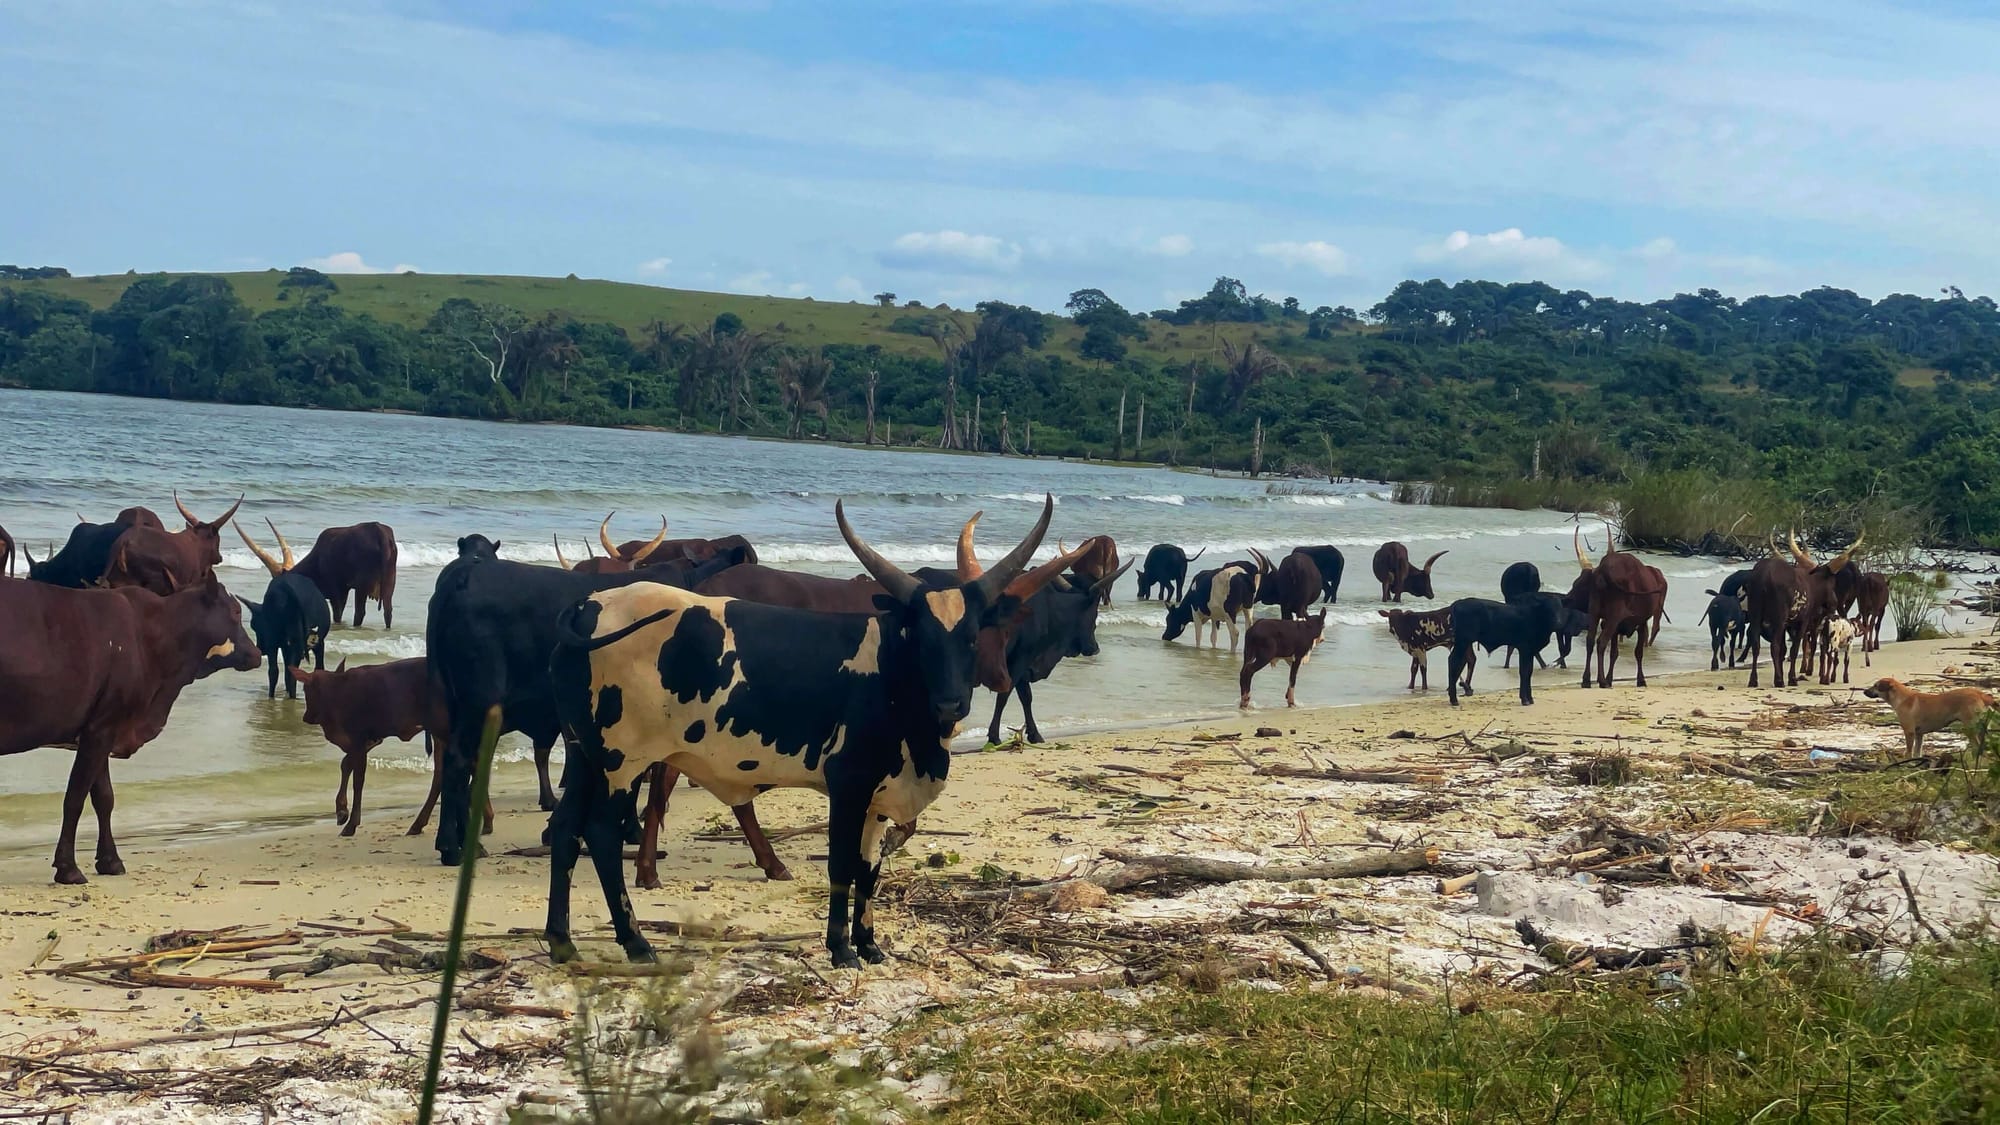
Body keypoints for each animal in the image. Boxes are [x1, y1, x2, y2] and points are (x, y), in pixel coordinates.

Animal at [0, 572, 262, 880]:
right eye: (236, 611)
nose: (257, 653)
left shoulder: (102, 727)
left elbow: (104, 798)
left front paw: (110, 861)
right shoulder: (101, 729)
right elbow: (75, 797)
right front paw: (68, 868)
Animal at [540, 496, 1056, 964]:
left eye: (970, 635)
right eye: (922, 635)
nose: (951, 702)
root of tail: (588, 606)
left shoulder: (878, 794)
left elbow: (869, 870)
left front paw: (870, 945)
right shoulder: (848, 785)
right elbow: (843, 866)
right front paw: (842, 948)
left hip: (584, 755)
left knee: (565, 829)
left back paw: (563, 942)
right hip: (622, 762)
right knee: (602, 835)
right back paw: (635, 942)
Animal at [1848, 672, 1992, 752]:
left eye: (1876, 686)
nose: (1864, 691)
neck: (1902, 698)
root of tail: (1980, 694)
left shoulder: (1909, 732)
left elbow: (1909, 751)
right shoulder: (1919, 734)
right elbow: (1917, 752)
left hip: (1971, 726)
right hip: (1982, 727)